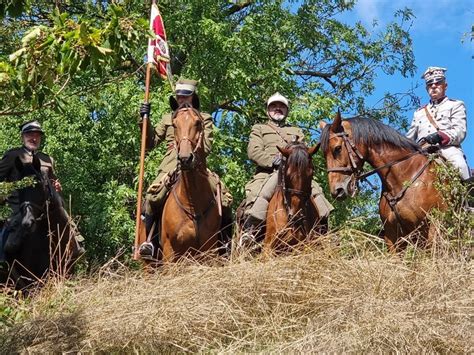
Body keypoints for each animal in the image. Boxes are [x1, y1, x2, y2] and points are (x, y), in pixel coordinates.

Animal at [160, 104, 221, 262]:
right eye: (174, 125)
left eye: (198, 123)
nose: (185, 159)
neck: (192, 203)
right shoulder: (169, 252)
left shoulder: (210, 250)